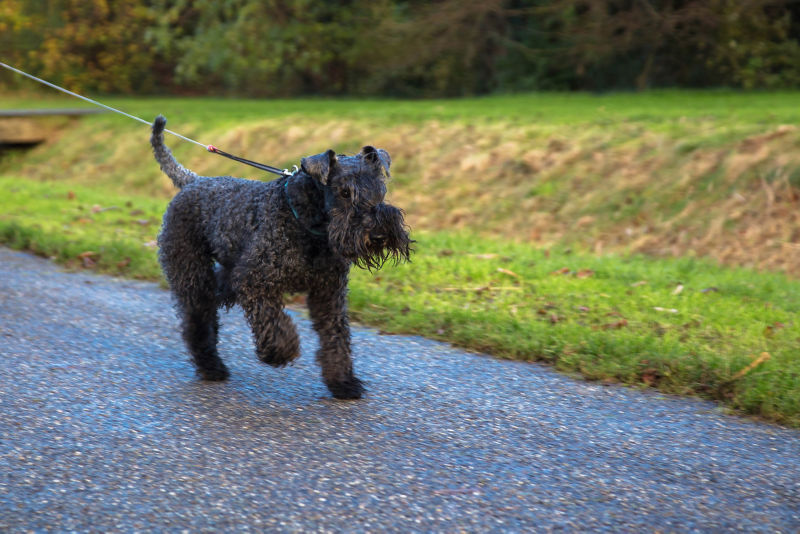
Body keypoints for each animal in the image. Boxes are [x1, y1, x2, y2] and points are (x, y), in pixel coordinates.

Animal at [151, 118, 412, 402]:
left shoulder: (328, 292)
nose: (378, 234)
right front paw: (279, 352)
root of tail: (191, 181)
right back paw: (211, 366)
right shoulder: (256, 282)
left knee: (211, 301)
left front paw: (343, 382)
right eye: (344, 192)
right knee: (196, 320)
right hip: (192, 272)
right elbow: (274, 322)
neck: (306, 222)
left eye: (380, 187)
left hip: (226, 274)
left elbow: (335, 336)